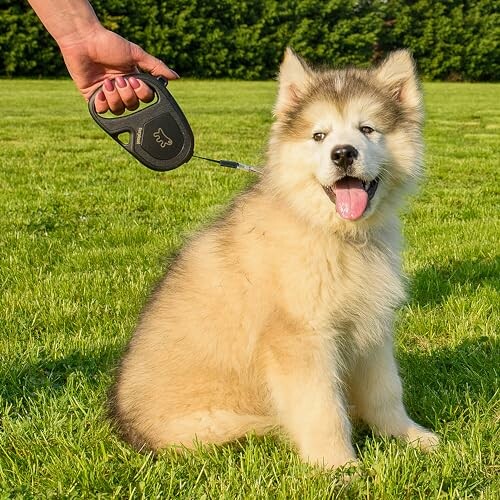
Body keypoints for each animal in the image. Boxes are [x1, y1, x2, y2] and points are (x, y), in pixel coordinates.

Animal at [109, 49, 438, 468]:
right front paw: (338, 467)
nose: (343, 154)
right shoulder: (301, 339)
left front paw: (408, 436)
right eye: (319, 135)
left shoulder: (371, 326)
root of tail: (124, 427)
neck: (332, 233)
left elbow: (386, 392)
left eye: (367, 129)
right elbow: (323, 410)